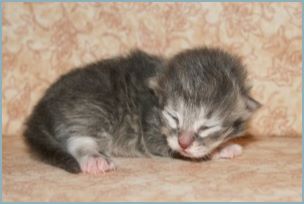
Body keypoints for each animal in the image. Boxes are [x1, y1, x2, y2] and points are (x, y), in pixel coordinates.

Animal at [24, 47, 262, 174]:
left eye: (206, 126)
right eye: (174, 117)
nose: (184, 142)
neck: (156, 103)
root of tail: (42, 105)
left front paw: (225, 146)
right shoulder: (151, 135)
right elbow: (185, 152)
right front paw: (218, 150)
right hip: (95, 106)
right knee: (76, 137)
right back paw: (93, 158)